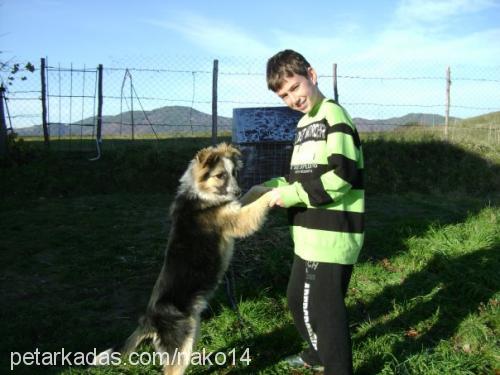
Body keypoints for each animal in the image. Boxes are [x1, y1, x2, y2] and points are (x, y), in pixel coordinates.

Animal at [94, 143, 274, 375]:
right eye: (220, 175)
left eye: (234, 173)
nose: (237, 192)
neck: (200, 192)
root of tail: (149, 318)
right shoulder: (236, 219)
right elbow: (255, 206)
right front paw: (276, 193)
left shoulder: (232, 207)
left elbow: (254, 192)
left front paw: (268, 186)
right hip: (180, 345)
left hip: (191, 333)